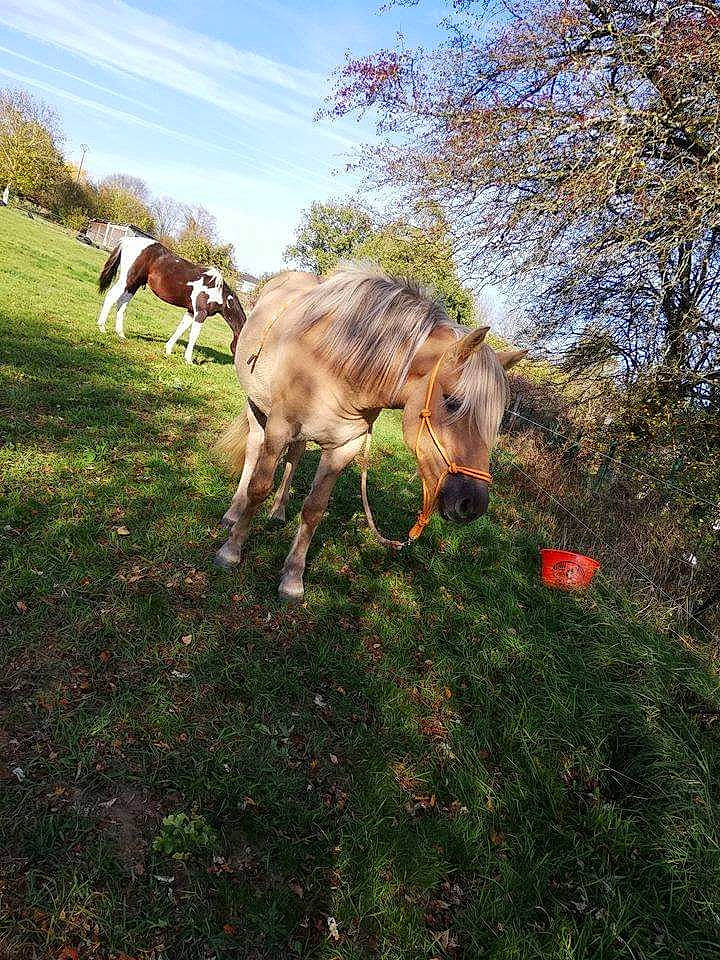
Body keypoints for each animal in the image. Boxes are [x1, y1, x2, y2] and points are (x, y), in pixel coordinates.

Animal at [97, 237, 247, 364]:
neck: (218, 292)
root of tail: (127, 240)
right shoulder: (201, 313)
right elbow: (193, 335)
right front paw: (189, 360)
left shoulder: (191, 311)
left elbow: (181, 329)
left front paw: (168, 350)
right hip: (127, 280)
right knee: (111, 297)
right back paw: (102, 328)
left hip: (134, 285)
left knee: (122, 304)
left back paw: (121, 334)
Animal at [215, 263, 527, 601]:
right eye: (453, 402)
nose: (473, 504)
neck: (336, 361)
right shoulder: (279, 428)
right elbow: (259, 486)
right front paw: (232, 550)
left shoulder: (344, 447)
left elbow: (314, 509)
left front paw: (293, 577)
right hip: (257, 408)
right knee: (252, 453)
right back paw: (233, 513)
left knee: (294, 458)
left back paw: (278, 512)